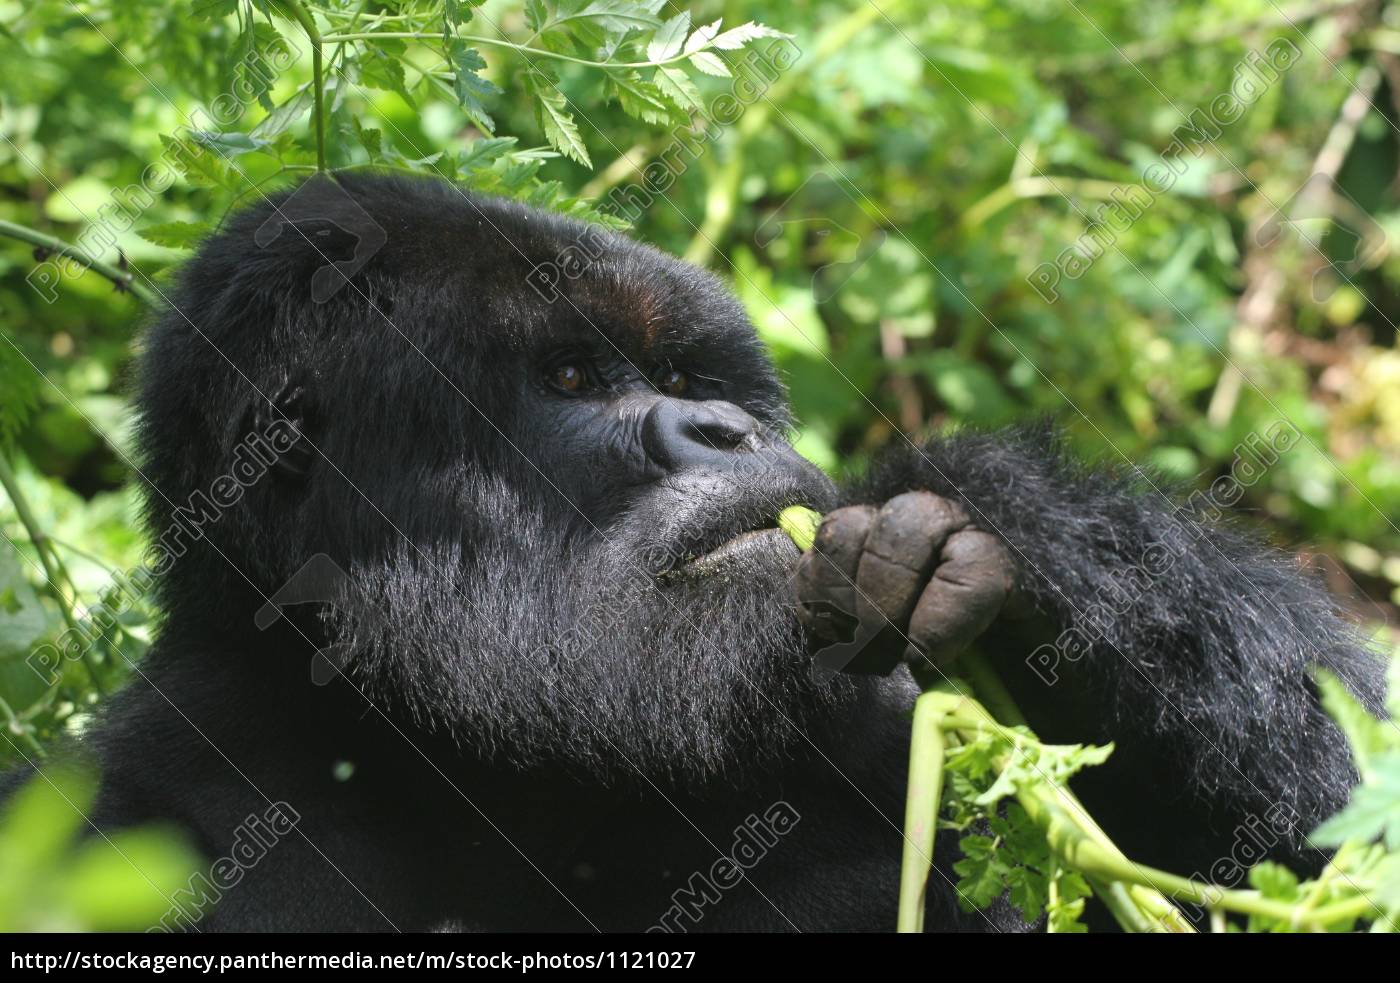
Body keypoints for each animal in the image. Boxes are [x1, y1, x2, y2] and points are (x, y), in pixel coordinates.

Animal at [16, 173, 1383, 935]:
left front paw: (997, 538)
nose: (729, 431)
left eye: (691, 380)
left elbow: (1329, 819)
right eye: (573, 377)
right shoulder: (119, 804)